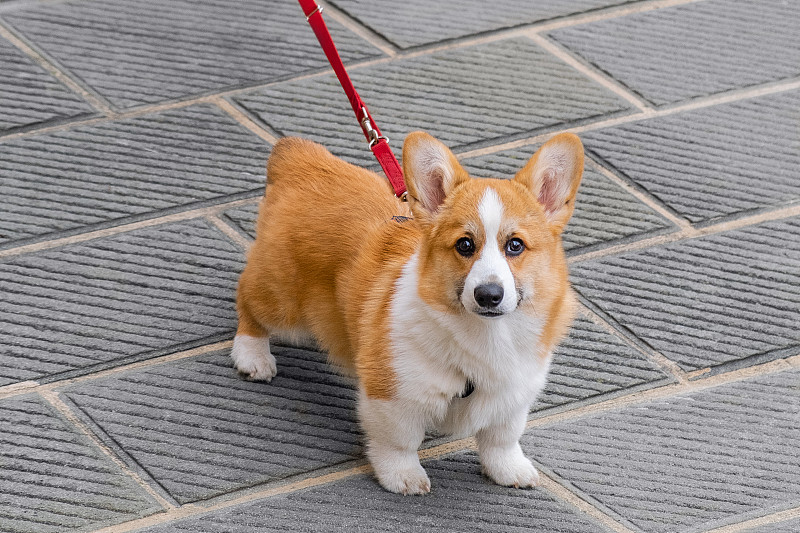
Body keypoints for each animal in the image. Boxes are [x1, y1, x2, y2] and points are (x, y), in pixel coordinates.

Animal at [231, 132, 580, 494]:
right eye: (465, 244)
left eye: (515, 245)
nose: (488, 295)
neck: (485, 335)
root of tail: (299, 158)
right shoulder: (392, 394)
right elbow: (399, 441)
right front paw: (403, 476)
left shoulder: (513, 395)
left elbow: (502, 439)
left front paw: (509, 470)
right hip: (282, 303)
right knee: (248, 301)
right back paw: (253, 356)